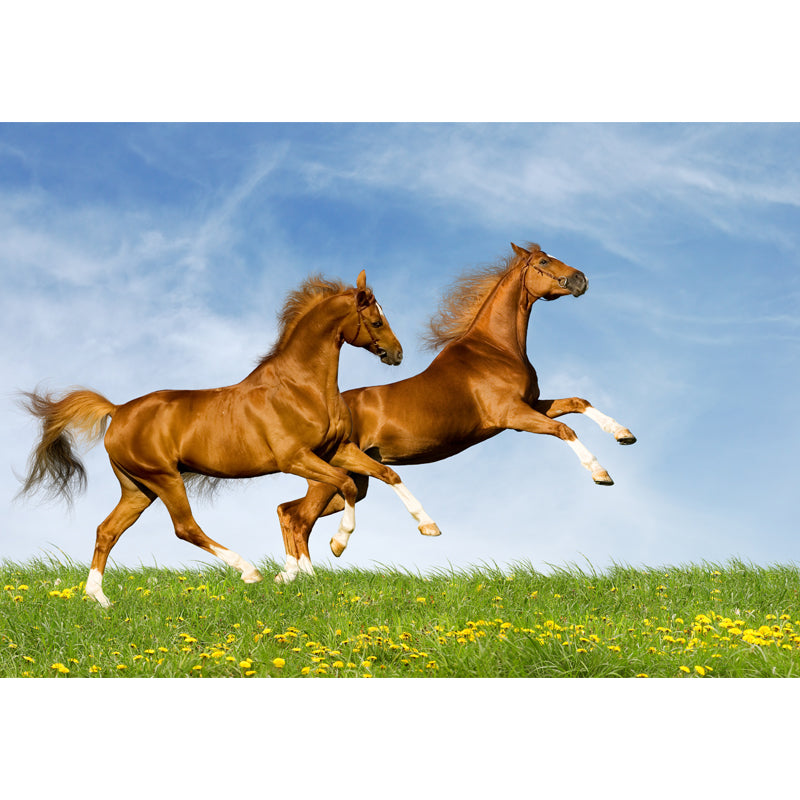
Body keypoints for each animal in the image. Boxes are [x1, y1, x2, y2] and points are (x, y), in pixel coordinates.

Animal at [18, 270, 439, 606]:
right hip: (164, 478)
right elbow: (345, 487)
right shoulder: (295, 458)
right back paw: (248, 570)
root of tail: (118, 410)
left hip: (138, 488)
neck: (301, 386)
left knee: (107, 531)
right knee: (185, 527)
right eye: (376, 321)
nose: (397, 355)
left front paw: (428, 526)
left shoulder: (336, 450)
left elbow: (388, 474)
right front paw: (334, 547)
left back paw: (98, 598)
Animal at [273, 243, 636, 581]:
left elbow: (578, 402)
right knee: (298, 518)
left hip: (352, 481)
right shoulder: (514, 416)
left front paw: (624, 434)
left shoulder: (532, 405)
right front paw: (601, 474)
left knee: (288, 511)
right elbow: (565, 430)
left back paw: (289, 574)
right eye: (544, 261)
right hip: (330, 479)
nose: (580, 279)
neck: (496, 349)